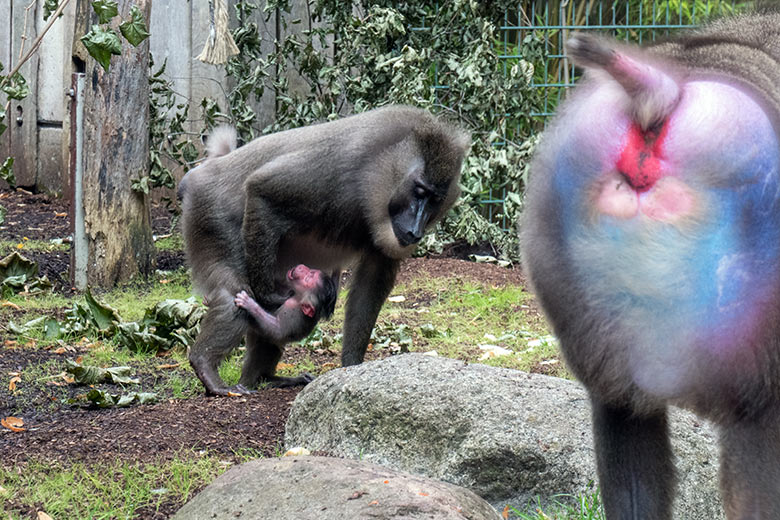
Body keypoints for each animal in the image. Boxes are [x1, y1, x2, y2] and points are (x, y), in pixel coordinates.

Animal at [178, 107, 470, 396]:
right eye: (419, 191)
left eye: (434, 199)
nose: (416, 230)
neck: (379, 168)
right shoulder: (337, 168)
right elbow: (262, 190)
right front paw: (268, 296)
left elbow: (370, 286)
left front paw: (352, 367)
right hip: (212, 218)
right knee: (233, 293)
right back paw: (207, 368)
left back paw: (267, 378)